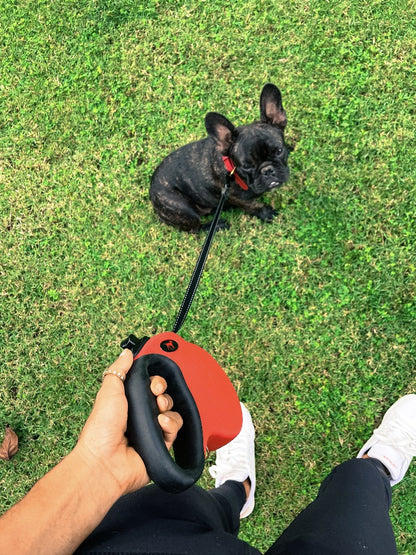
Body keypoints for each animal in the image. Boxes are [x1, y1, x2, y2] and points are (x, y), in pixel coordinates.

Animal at [150, 83, 290, 232]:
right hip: (183, 210)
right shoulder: (237, 198)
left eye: (279, 151)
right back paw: (216, 225)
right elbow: (253, 206)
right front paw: (265, 213)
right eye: (246, 166)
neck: (231, 169)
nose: (267, 170)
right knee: (195, 228)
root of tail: (151, 192)